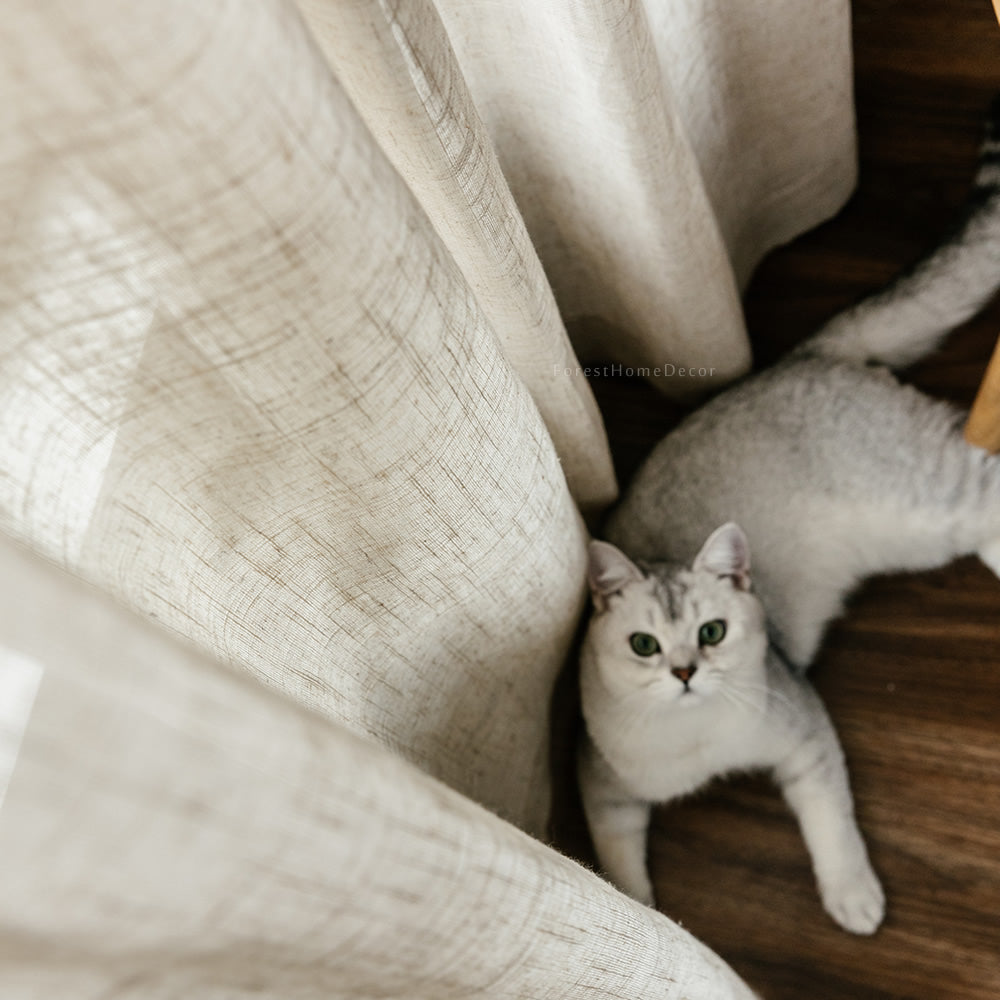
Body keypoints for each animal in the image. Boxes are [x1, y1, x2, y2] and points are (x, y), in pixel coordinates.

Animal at [576, 97, 1000, 932]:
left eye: (712, 633)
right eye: (643, 645)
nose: (684, 672)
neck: (698, 738)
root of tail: (800, 356)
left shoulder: (806, 736)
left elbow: (832, 826)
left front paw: (852, 896)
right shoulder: (605, 791)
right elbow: (619, 870)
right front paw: (645, 912)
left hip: (919, 499)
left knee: (991, 482)